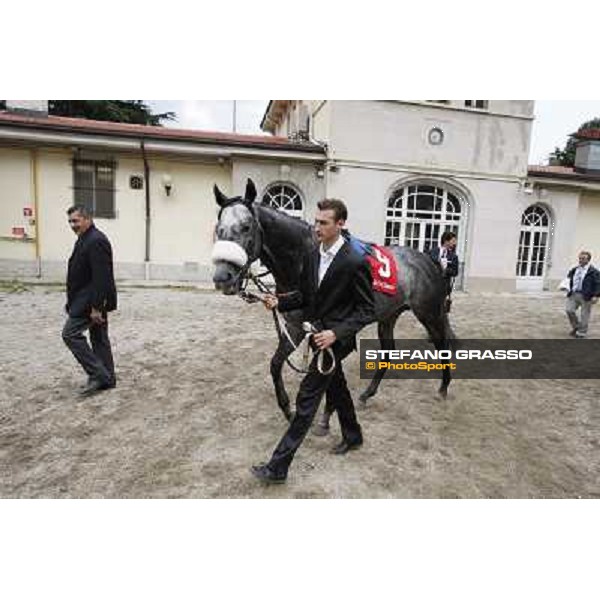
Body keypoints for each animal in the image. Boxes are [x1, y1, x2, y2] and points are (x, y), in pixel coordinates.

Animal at [211, 178, 454, 422]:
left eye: (246, 226)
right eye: (218, 228)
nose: (222, 278)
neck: (304, 258)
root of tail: (428, 260)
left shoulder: (322, 331)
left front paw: (322, 410)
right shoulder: (295, 326)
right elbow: (276, 363)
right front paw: (288, 408)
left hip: (429, 314)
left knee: (442, 344)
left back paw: (444, 388)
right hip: (388, 316)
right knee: (388, 351)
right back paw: (366, 394)